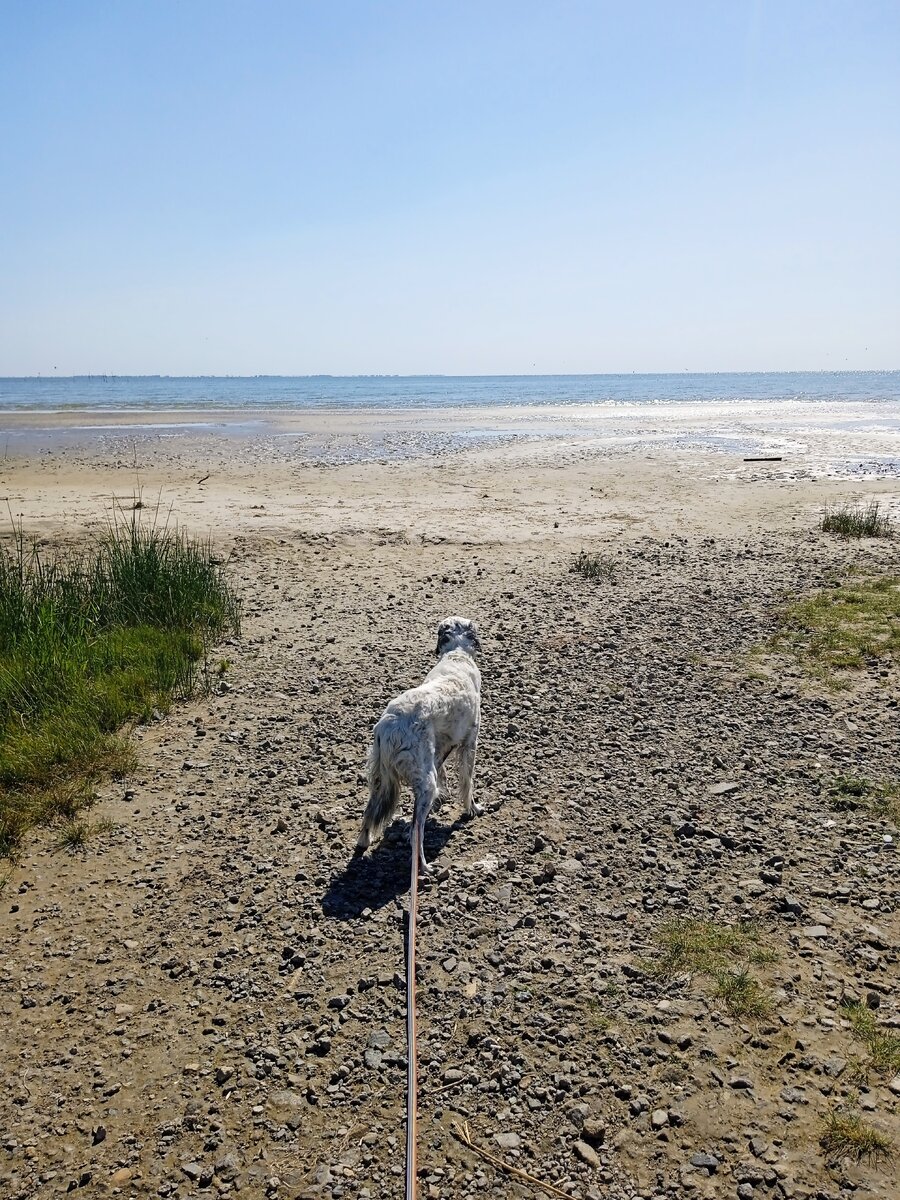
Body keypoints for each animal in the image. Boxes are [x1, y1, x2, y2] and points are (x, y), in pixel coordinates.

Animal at [357, 619, 487, 873]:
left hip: (381, 778)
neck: (456, 655)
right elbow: (467, 784)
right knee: (416, 830)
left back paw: (364, 841)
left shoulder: (440, 749)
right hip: (425, 781)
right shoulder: (469, 744)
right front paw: (473, 808)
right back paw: (424, 866)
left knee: (369, 813)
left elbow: (444, 774)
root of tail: (387, 725)